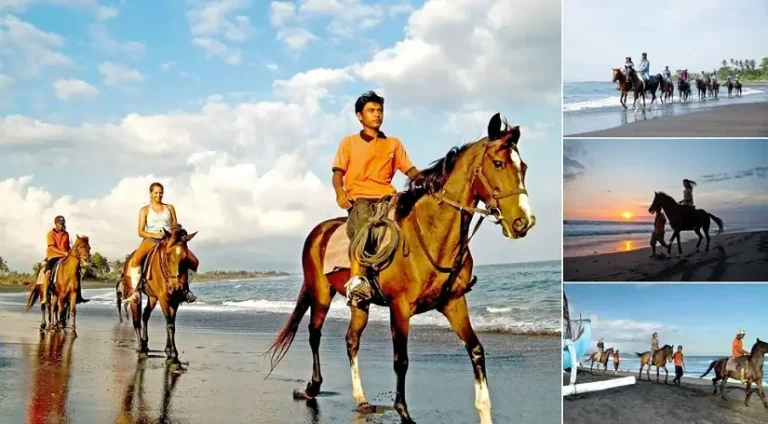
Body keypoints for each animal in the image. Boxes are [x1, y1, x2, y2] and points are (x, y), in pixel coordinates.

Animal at [122, 227, 198, 366]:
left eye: (185, 258)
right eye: (167, 255)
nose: (175, 286)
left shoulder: (175, 300)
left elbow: (171, 324)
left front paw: (169, 350)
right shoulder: (163, 298)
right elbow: (170, 325)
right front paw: (173, 354)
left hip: (152, 297)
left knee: (145, 314)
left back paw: (145, 342)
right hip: (134, 294)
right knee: (136, 320)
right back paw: (141, 348)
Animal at [264, 114, 535, 424]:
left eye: (523, 167)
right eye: (498, 163)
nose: (523, 222)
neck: (430, 234)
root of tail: (318, 231)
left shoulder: (454, 303)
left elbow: (476, 349)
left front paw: (484, 410)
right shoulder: (400, 307)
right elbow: (401, 360)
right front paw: (403, 412)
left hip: (360, 303)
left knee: (351, 340)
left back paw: (361, 398)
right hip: (320, 294)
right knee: (314, 333)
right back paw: (312, 387)